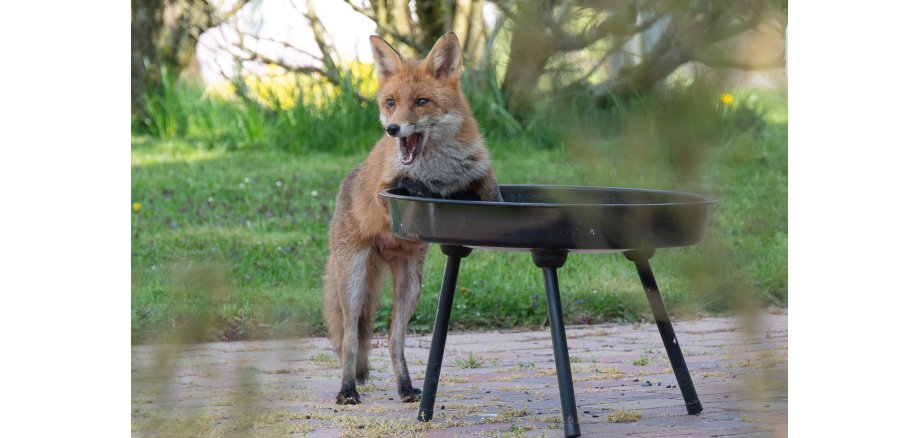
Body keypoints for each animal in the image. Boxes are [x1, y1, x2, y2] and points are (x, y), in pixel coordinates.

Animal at [322, 32, 502, 405]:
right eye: (391, 102)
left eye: (421, 102)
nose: (393, 129)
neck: (440, 167)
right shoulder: (386, 191)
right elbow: (413, 185)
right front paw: (429, 188)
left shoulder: (483, 175)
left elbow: (491, 194)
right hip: (353, 283)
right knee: (350, 339)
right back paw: (347, 390)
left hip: (411, 288)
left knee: (394, 339)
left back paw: (405, 387)